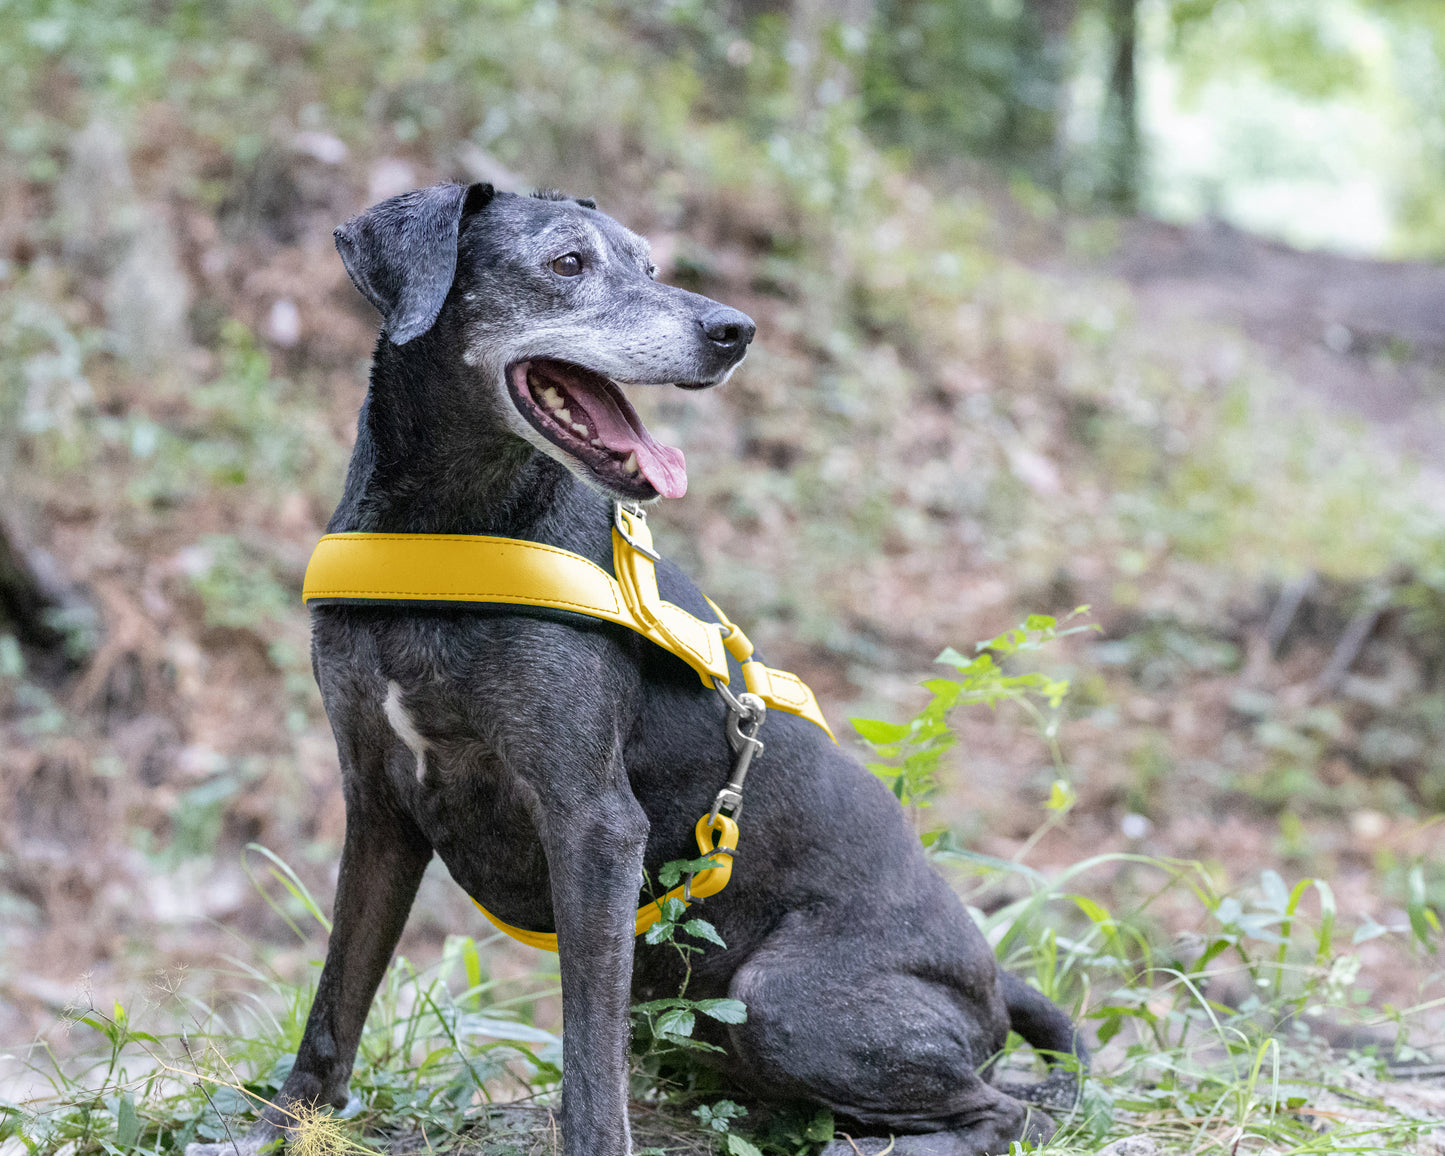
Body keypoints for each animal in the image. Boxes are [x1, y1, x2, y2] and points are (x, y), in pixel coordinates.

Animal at [183, 180, 1086, 1156]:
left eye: (651, 265)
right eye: (566, 263)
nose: (734, 330)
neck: (448, 531)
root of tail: (994, 981)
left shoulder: (592, 823)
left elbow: (588, 1055)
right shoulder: (379, 804)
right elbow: (335, 1000)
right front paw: (278, 1123)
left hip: (782, 999)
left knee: (1008, 1111)